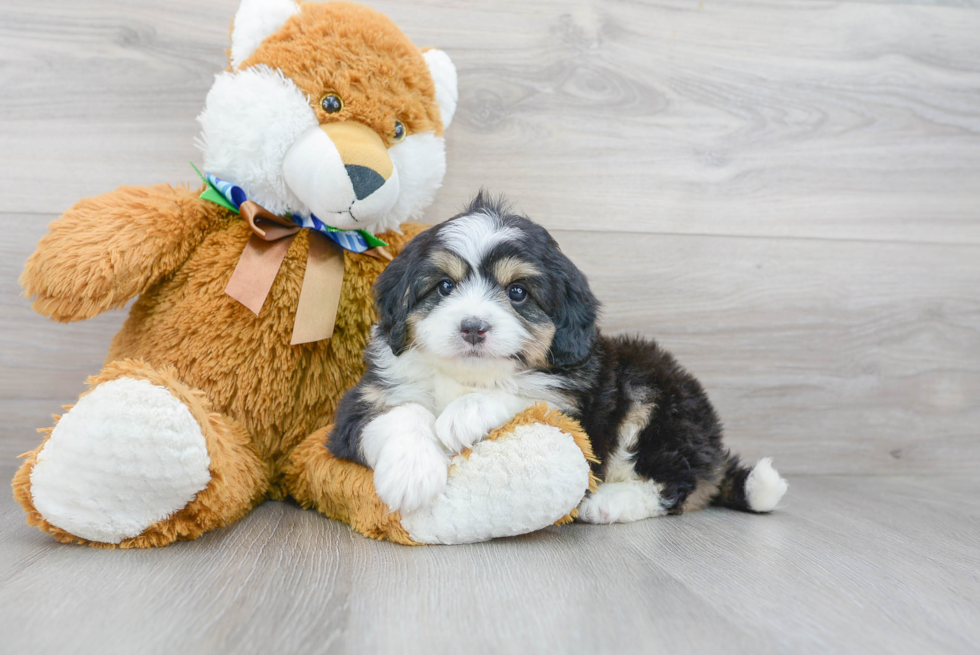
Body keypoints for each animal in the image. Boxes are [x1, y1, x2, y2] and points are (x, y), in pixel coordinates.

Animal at [332, 193, 788, 524]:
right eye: (444, 287)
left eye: (517, 293)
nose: (473, 327)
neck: (467, 376)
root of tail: (713, 445)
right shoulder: (361, 403)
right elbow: (402, 413)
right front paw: (412, 473)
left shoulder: (576, 408)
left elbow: (528, 394)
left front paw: (466, 413)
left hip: (651, 390)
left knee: (674, 483)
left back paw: (610, 502)